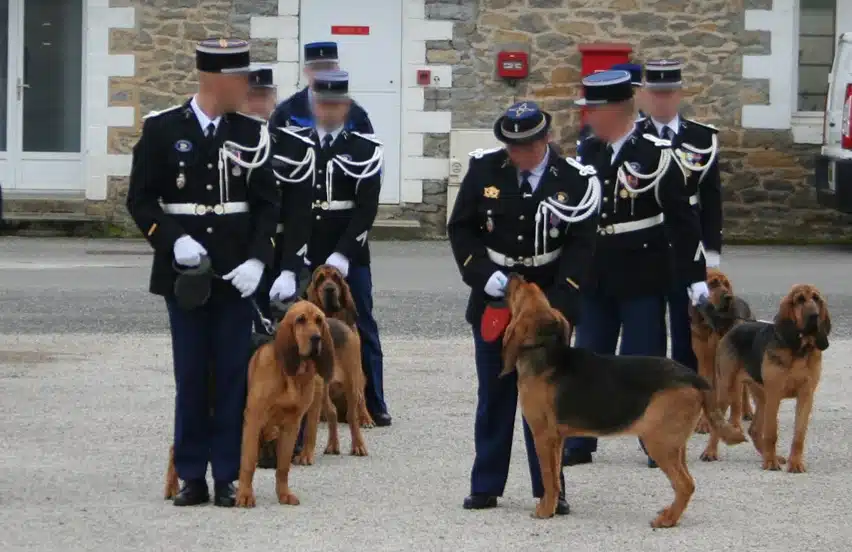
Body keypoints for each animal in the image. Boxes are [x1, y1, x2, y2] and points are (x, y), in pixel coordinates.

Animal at [304, 266, 374, 430]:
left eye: (336, 278)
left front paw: (365, 419)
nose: (330, 289)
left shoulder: (355, 368)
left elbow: (360, 396)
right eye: (320, 279)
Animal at [500, 274, 744, 528]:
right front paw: (553, 506)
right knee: (684, 484)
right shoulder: (557, 439)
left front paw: (545, 511)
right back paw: (670, 512)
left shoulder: (543, 436)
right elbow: (556, 477)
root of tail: (693, 377)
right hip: (675, 444)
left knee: (686, 484)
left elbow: (548, 477)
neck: (545, 352)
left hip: (659, 442)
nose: (515, 275)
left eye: (523, 291)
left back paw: (666, 520)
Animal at [688, 270, 756, 434]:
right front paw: (704, 422)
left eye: (726, 284)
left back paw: (747, 412)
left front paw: (735, 425)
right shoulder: (705, 362)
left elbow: (736, 399)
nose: (729, 297)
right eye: (712, 283)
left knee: (743, 390)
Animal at [700, 282, 832, 472]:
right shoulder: (774, 394)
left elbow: (799, 435)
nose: (814, 315)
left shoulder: (806, 395)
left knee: (754, 429)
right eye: (799, 300)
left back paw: (770, 456)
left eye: (816, 298)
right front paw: (770, 463)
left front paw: (795, 463)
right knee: (718, 424)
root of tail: (734, 328)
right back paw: (710, 452)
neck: (799, 348)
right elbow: (771, 432)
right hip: (728, 390)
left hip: (761, 396)